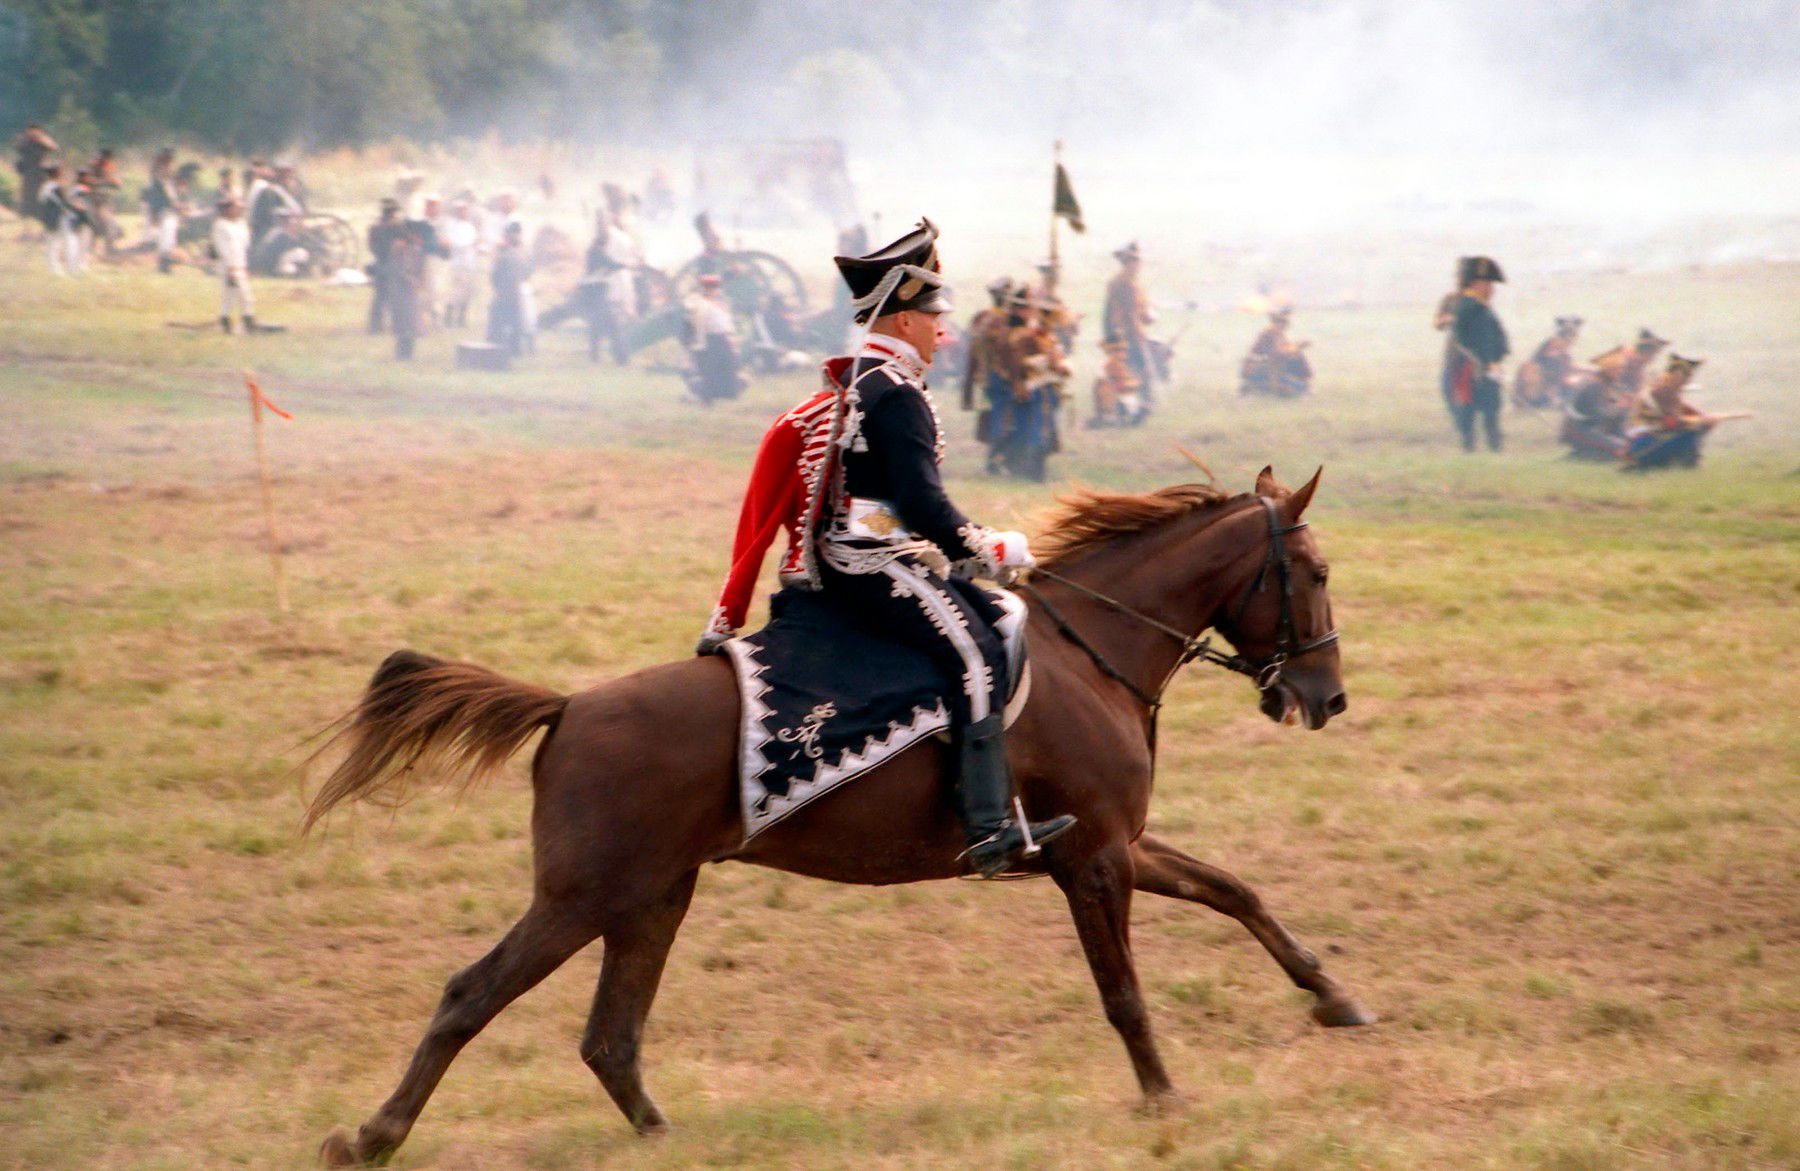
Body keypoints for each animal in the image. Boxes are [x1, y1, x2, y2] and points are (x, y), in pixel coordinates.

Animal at [313, 464, 1375, 1165]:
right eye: (1316, 570)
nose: (1325, 698)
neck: (1090, 650)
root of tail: (569, 706)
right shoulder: (1097, 858)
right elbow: (1123, 991)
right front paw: (1162, 1096)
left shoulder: (1116, 843)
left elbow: (1235, 890)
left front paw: (1334, 996)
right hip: (582, 898)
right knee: (472, 994)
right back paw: (371, 1134)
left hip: (652, 898)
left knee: (610, 1035)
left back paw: (662, 1133)